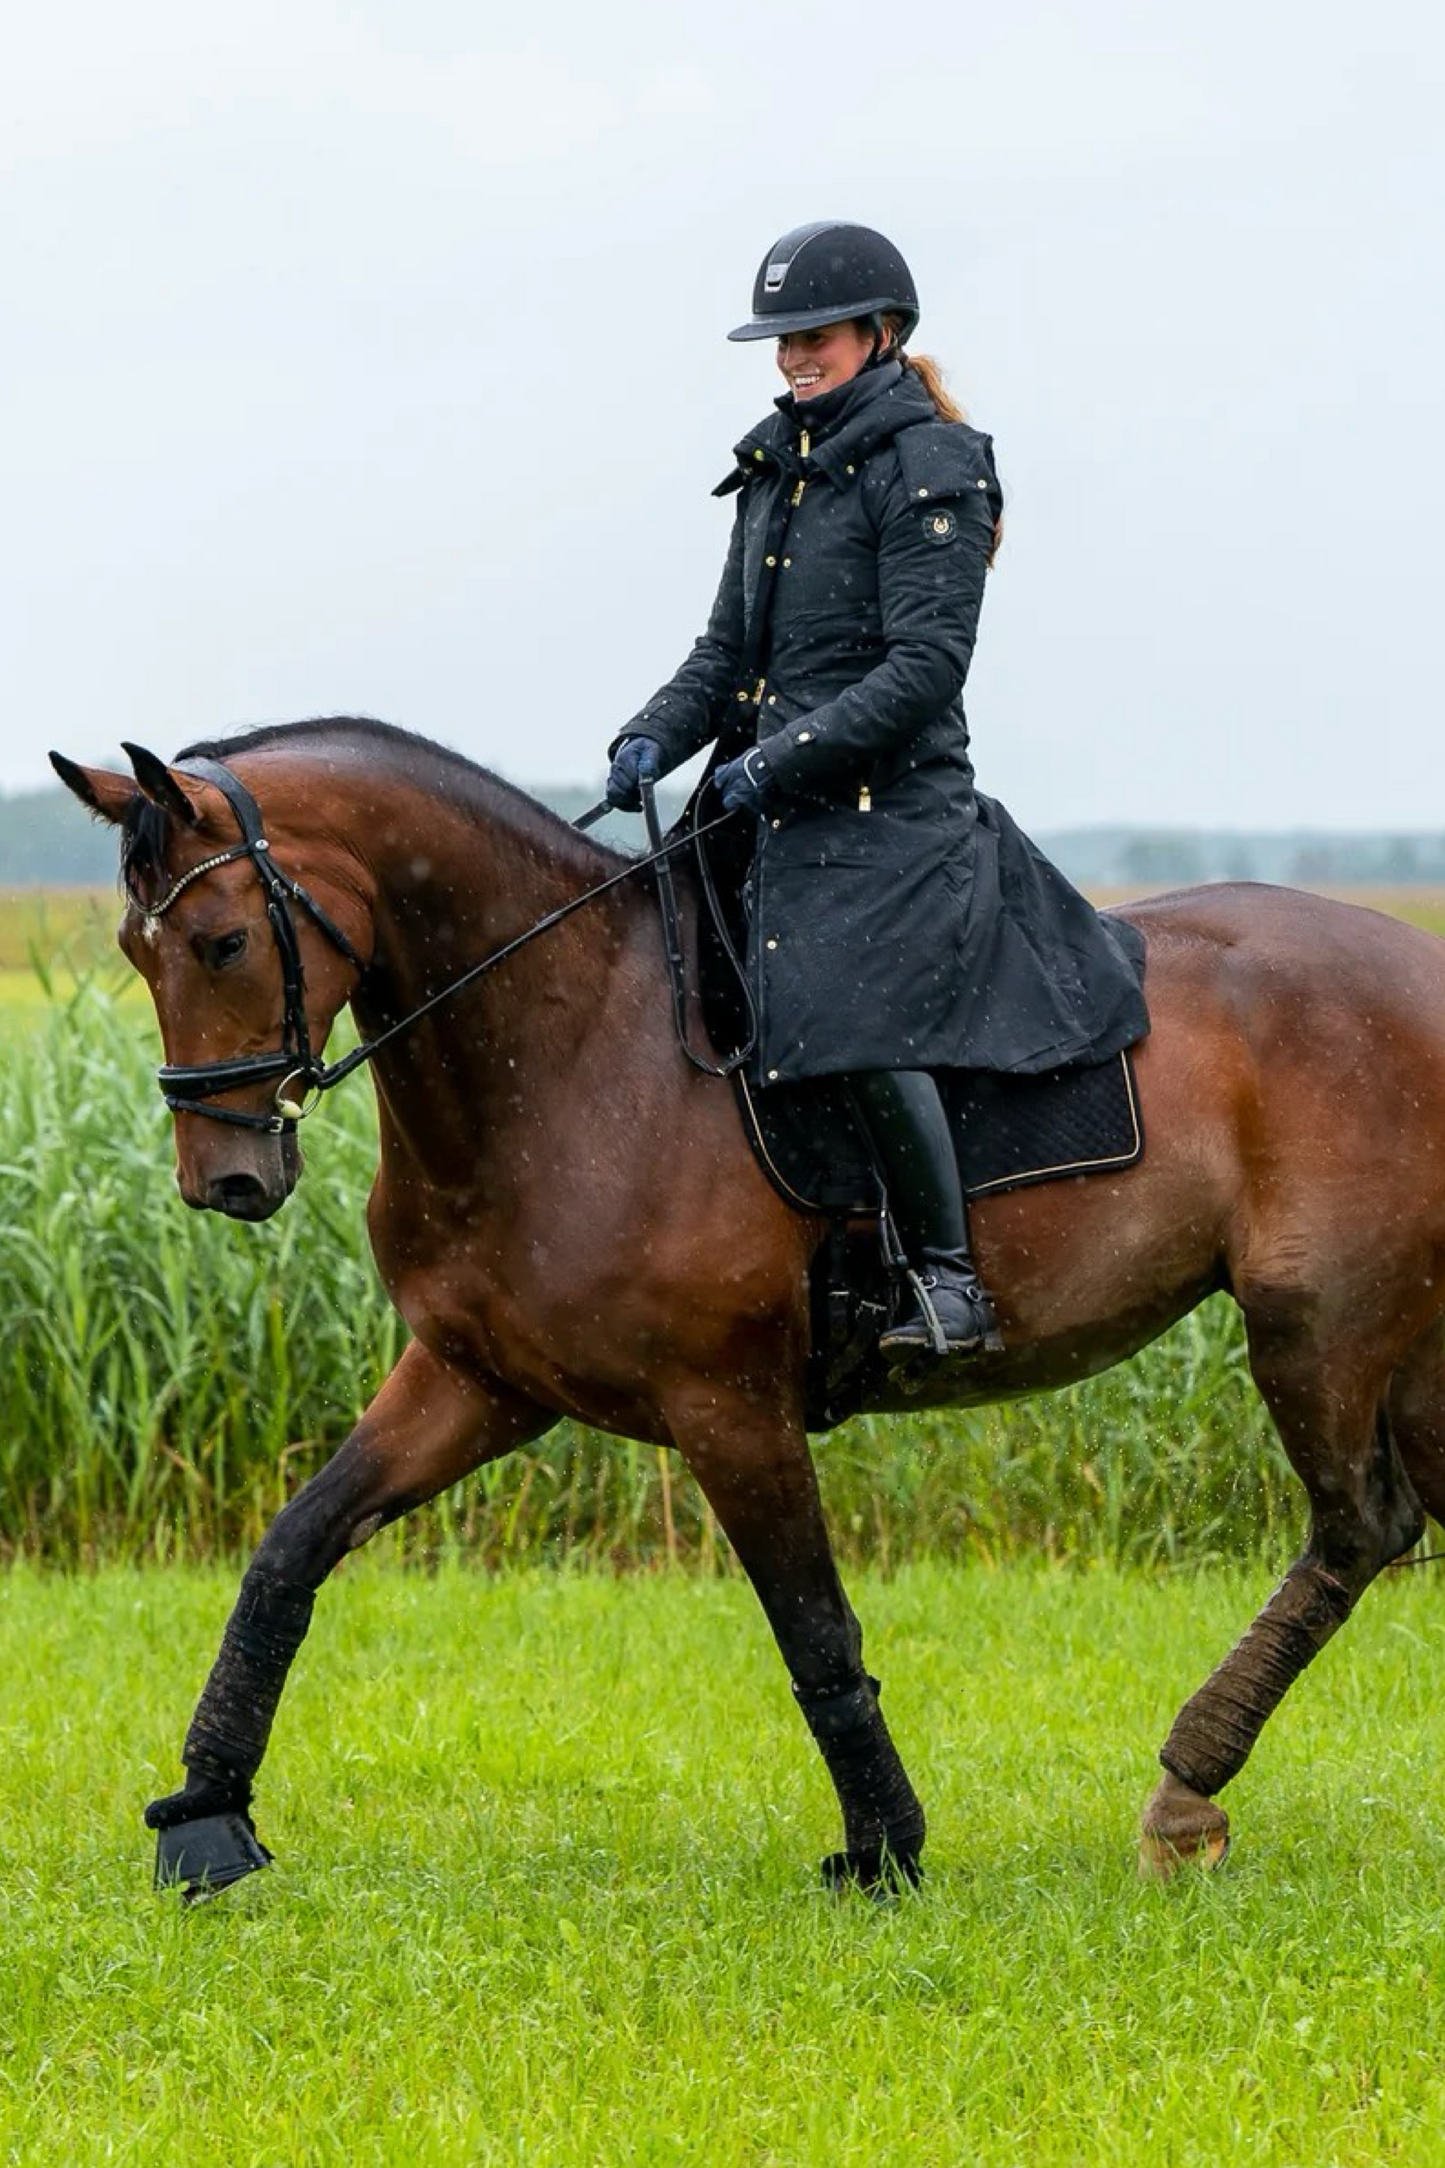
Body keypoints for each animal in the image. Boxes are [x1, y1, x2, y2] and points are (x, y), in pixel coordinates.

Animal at [50, 715, 1445, 1899]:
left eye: (223, 942)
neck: (569, 1049)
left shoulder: (729, 1406)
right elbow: (292, 1547)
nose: (226, 1180)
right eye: (132, 949)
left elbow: (813, 1628)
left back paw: (1181, 1793)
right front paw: (205, 1817)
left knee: (1357, 1526)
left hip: (1316, 1323)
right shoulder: (475, 1381)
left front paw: (883, 1853)